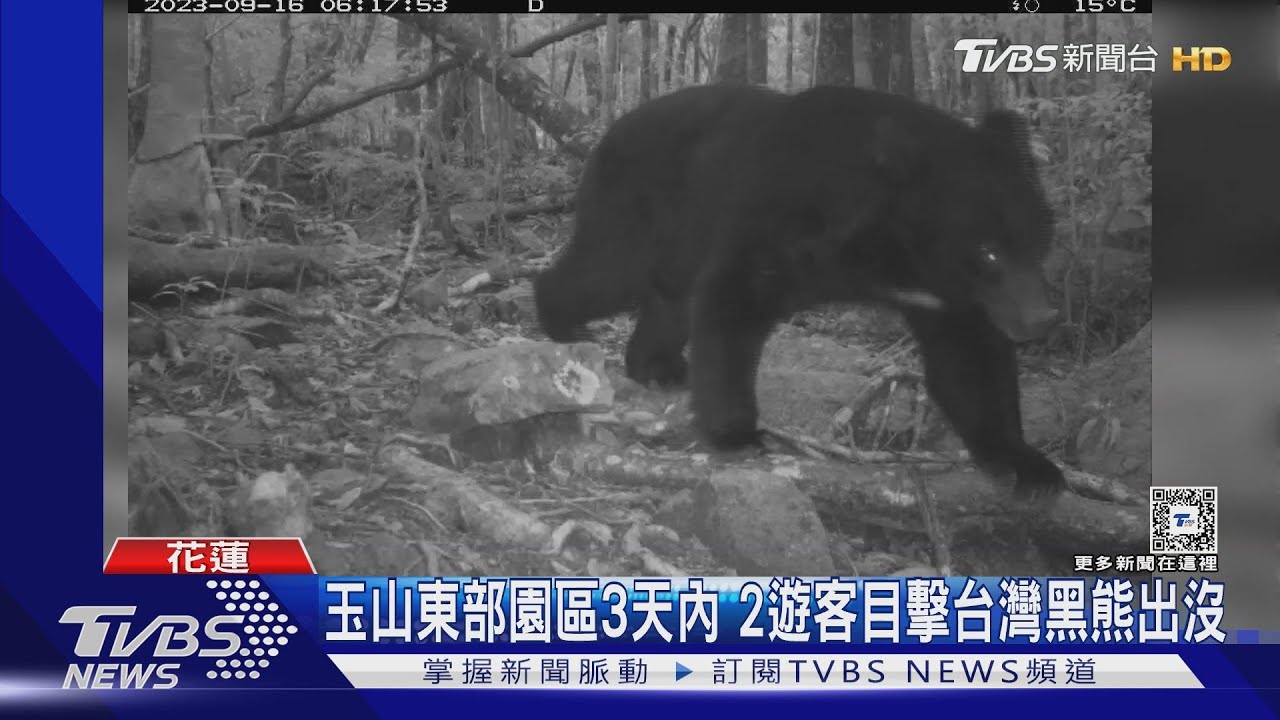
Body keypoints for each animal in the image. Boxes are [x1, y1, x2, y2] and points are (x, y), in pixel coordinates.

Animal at [534, 84, 1065, 500]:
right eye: (989, 252)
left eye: (1040, 243)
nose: (1042, 318)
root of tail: (608, 131)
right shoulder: (778, 215)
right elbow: (731, 303)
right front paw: (737, 432)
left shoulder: (946, 298)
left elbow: (969, 361)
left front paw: (1029, 464)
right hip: (640, 211)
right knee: (605, 269)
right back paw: (564, 328)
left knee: (668, 301)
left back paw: (658, 366)